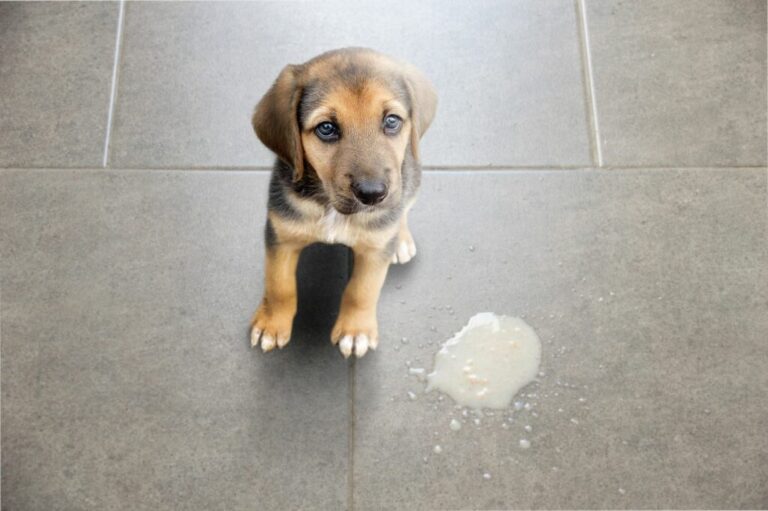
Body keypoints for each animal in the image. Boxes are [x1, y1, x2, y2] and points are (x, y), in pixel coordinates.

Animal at [249, 48, 436, 360]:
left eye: (392, 121)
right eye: (326, 128)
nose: (373, 194)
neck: (330, 207)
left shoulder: (374, 250)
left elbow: (362, 290)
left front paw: (355, 331)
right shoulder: (280, 235)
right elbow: (279, 285)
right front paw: (272, 324)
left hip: (411, 181)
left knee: (403, 211)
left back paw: (401, 240)